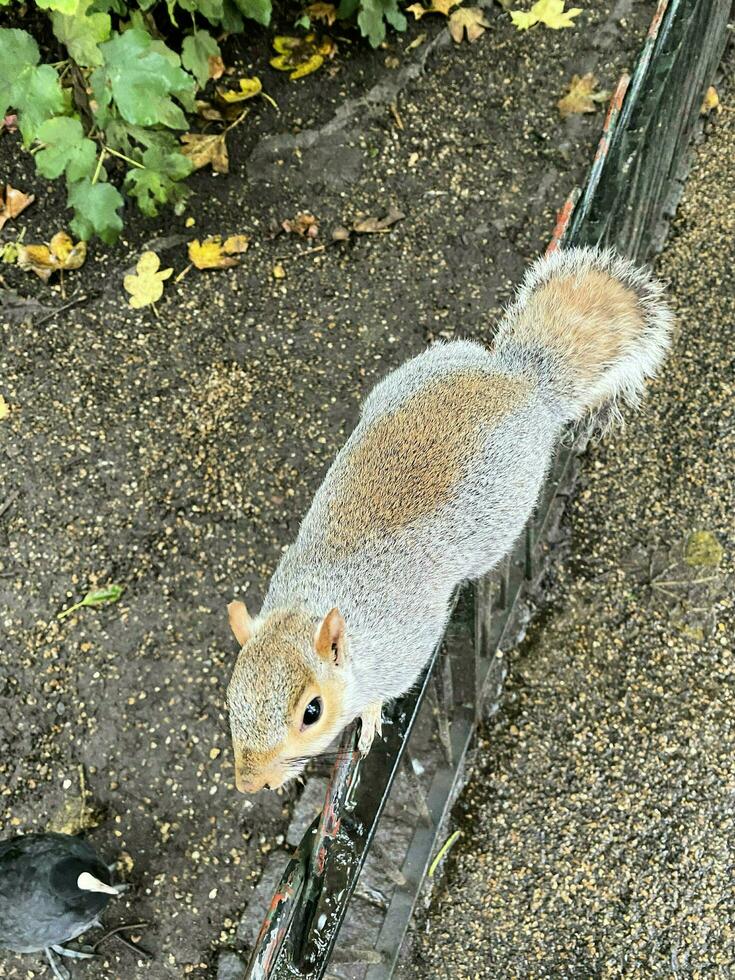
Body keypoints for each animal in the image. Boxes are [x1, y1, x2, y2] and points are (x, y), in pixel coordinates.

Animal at [226, 245, 672, 788]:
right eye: (232, 698)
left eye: (312, 712)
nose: (251, 783)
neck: (314, 603)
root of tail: (518, 379)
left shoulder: (405, 644)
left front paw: (369, 717)